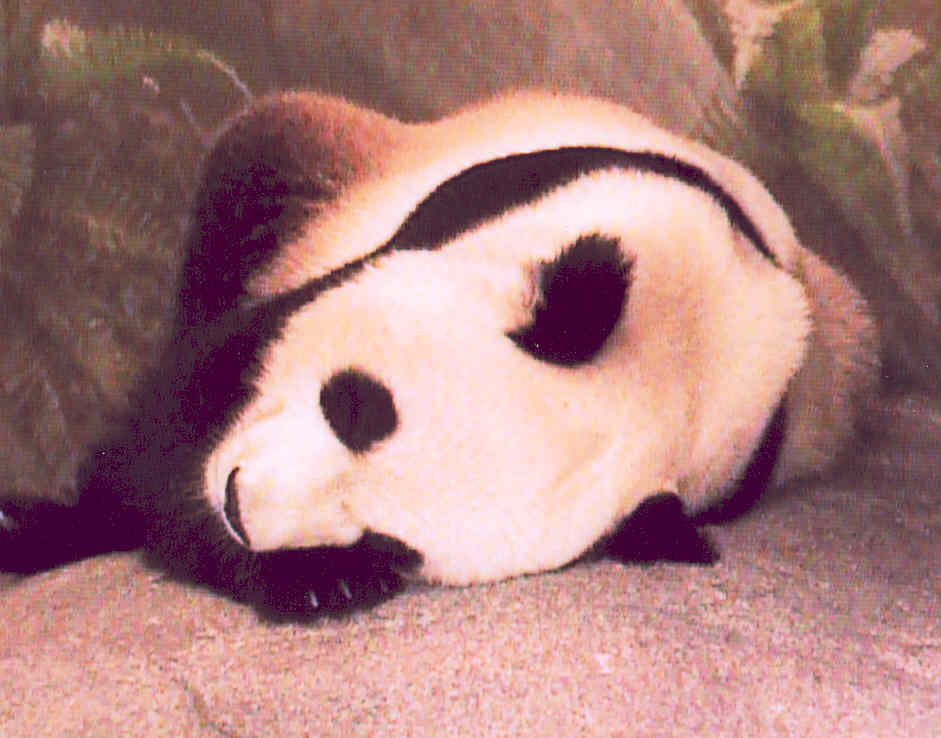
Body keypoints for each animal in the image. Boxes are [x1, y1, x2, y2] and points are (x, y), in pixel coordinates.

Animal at [0, 91, 878, 619]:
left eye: (392, 541)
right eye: (357, 406)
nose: (241, 505)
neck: (689, 333)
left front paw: (318, 577)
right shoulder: (422, 239)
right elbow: (181, 420)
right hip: (341, 158)